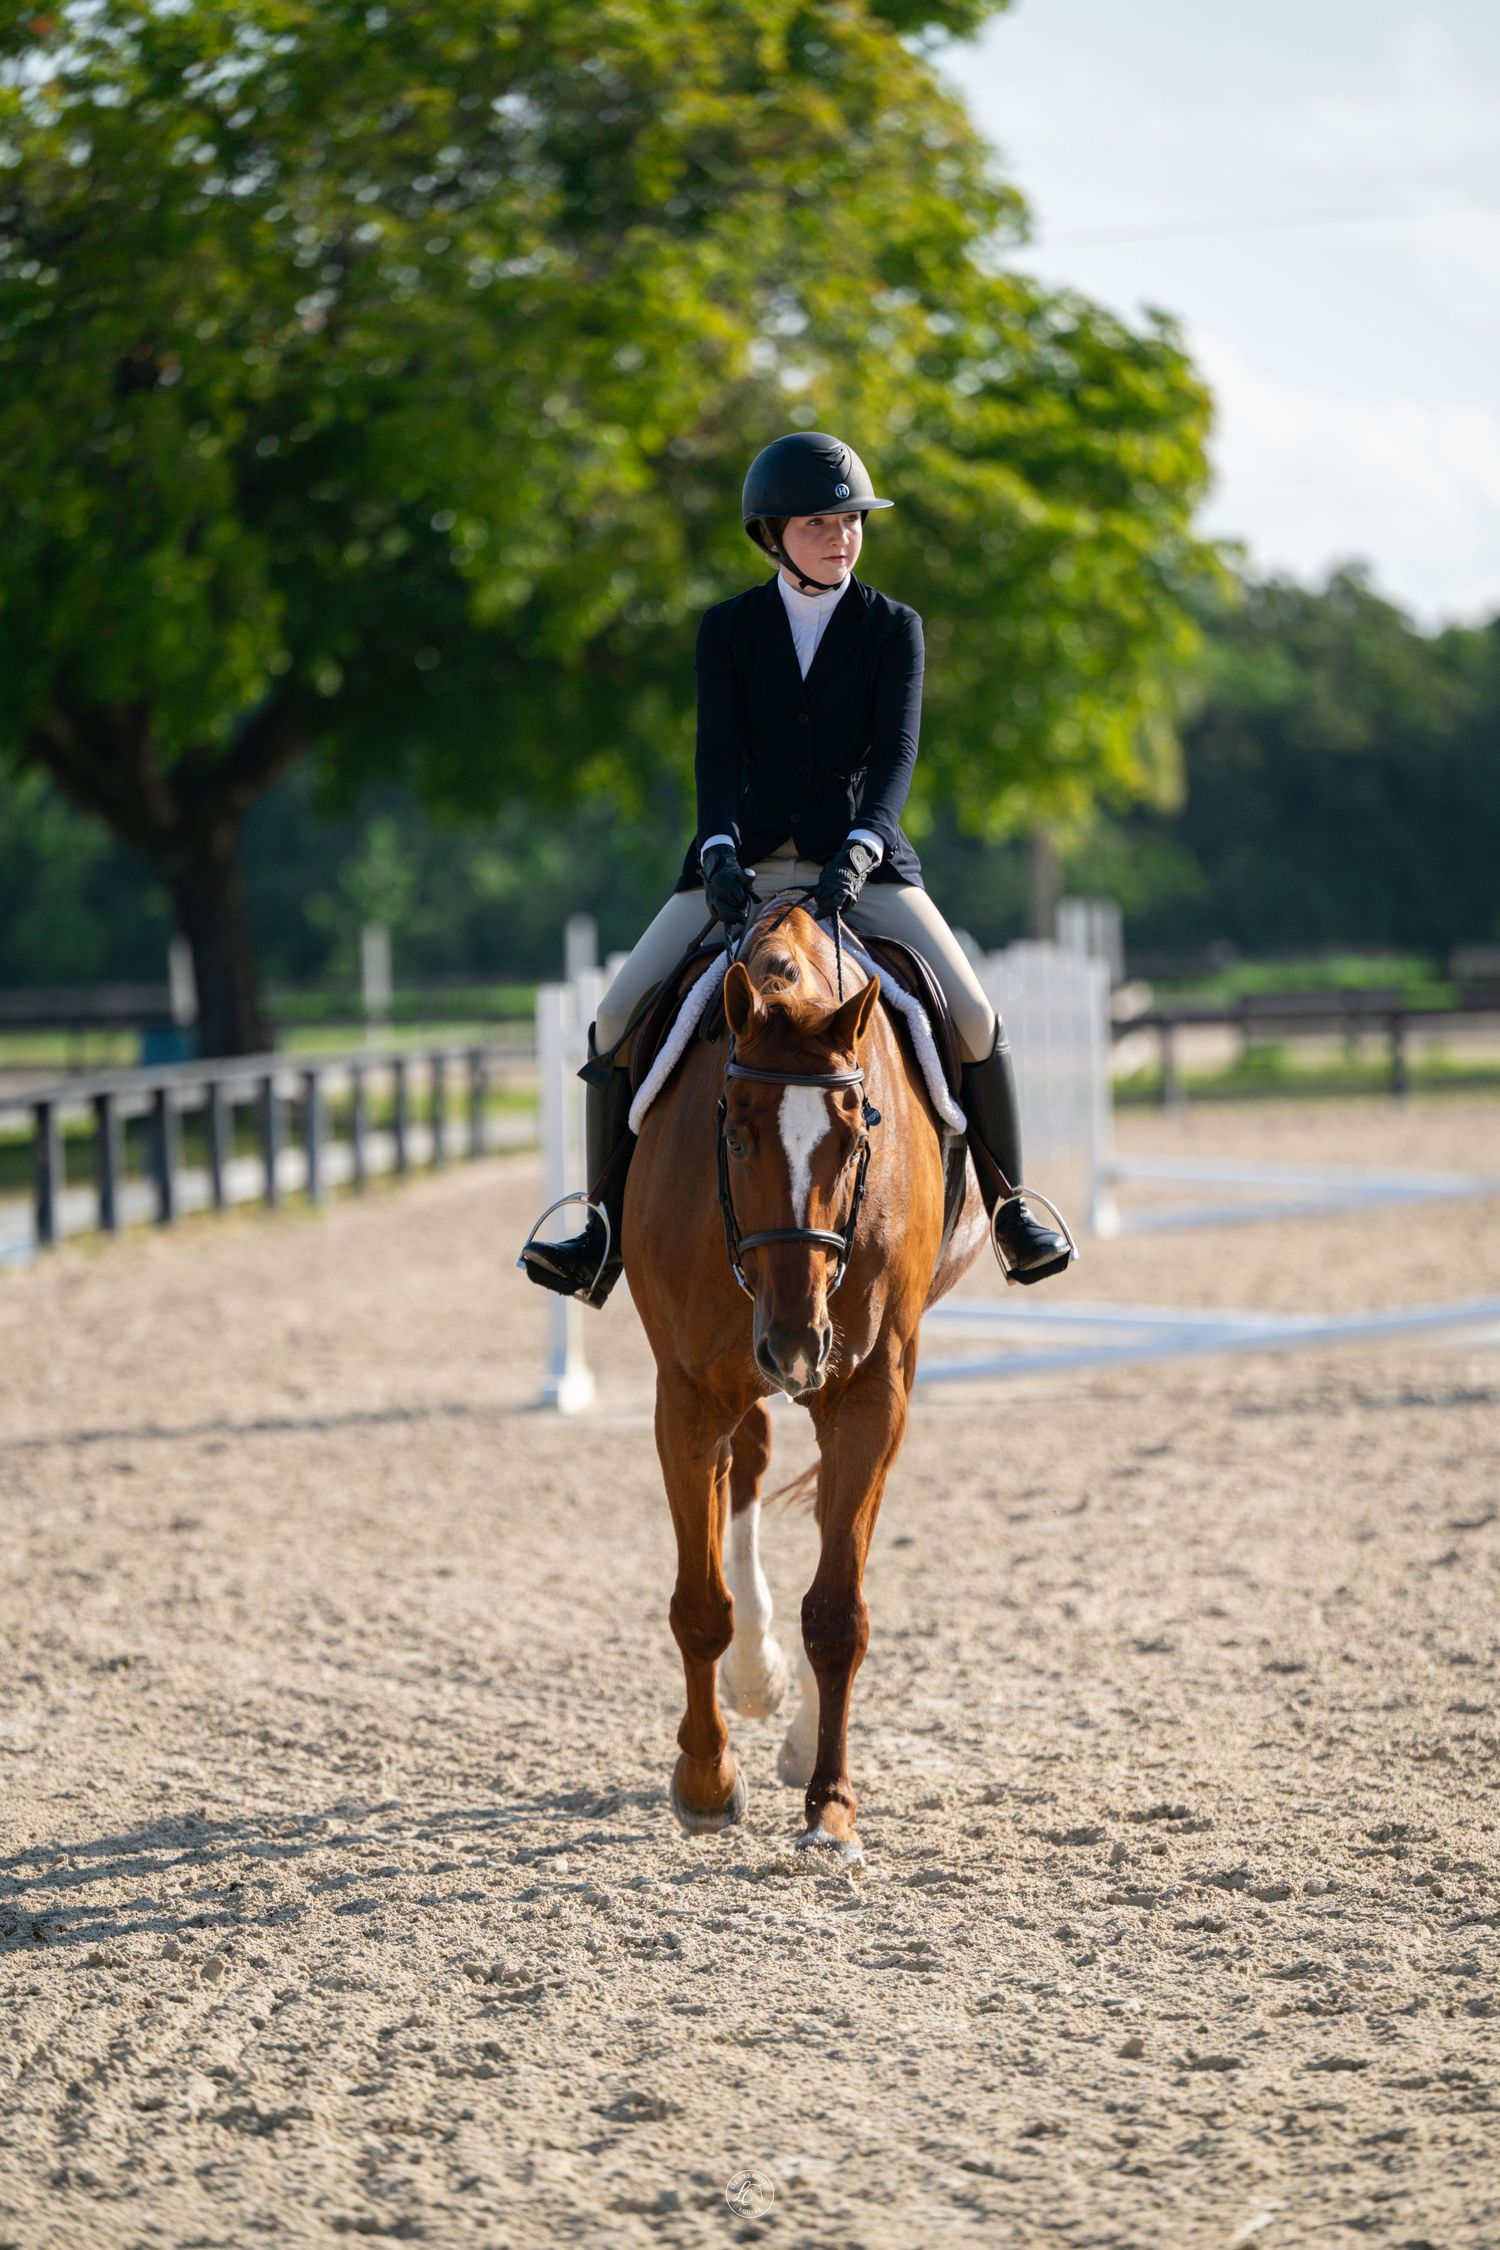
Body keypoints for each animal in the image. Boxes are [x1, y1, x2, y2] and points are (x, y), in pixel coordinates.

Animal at [624, 902, 989, 1863]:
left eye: (859, 1135)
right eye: (733, 1132)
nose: (795, 1342)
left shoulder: (871, 1393)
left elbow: (837, 1610)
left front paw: (830, 1803)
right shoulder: (686, 1394)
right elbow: (699, 1604)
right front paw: (707, 1782)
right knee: (745, 1475)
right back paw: (754, 1681)